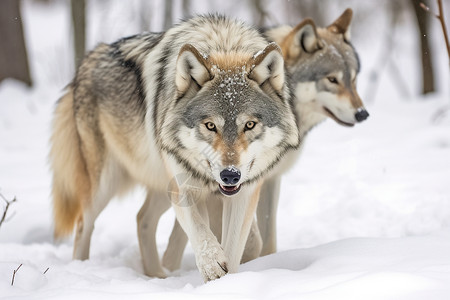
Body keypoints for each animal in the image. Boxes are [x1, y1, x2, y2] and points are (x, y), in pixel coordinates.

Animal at [50, 14, 298, 282]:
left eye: (249, 125)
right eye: (210, 126)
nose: (230, 175)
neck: (223, 44)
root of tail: (88, 58)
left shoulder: (244, 192)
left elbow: (233, 248)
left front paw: (226, 280)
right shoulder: (185, 187)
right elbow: (201, 232)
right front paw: (212, 267)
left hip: (159, 184)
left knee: (142, 219)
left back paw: (158, 276)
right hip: (107, 183)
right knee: (83, 225)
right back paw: (81, 270)